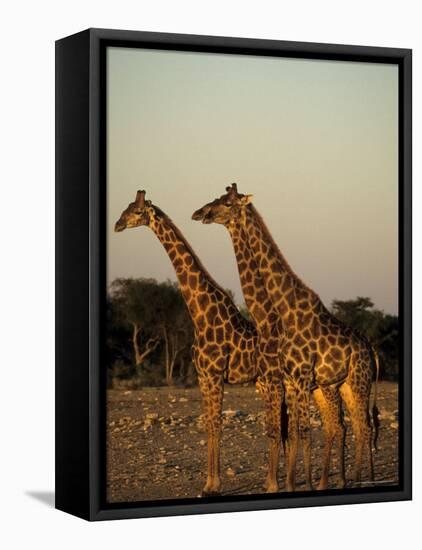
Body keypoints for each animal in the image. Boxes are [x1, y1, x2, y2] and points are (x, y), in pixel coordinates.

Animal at [114, 190, 284, 496]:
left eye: (136, 212)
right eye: (127, 208)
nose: (117, 225)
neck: (201, 313)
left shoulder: (215, 374)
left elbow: (217, 425)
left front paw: (214, 485)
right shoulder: (203, 375)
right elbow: (209, 426)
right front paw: (208, 484)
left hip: (274, 381)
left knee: (281, 424)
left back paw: (274, 484)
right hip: (266, 382)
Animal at [193, 184, 380, 492]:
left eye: (228, 203)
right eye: (217, 199)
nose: (200, 213)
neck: (282, 309)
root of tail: (370, 348)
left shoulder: (299, 377)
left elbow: (301, 431)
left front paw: (298, 484)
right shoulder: (290, 380)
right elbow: (292, 432)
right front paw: (292, 484)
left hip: (358, 380)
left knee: (362, 426)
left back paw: (356, 479)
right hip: (341, 385)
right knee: (350, 425)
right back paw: (345, 479)